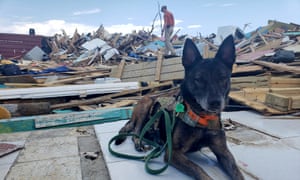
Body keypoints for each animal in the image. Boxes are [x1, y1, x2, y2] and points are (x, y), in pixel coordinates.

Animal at [115, 35, 244, 180]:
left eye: (223, 77)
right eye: (198, 79)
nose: (215, 102)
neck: (201, 118)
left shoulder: (223, 152)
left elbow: (238, 174)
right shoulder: (173, 153)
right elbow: (198, 169)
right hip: (146, 102)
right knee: (136, 132)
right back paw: (140, 142)